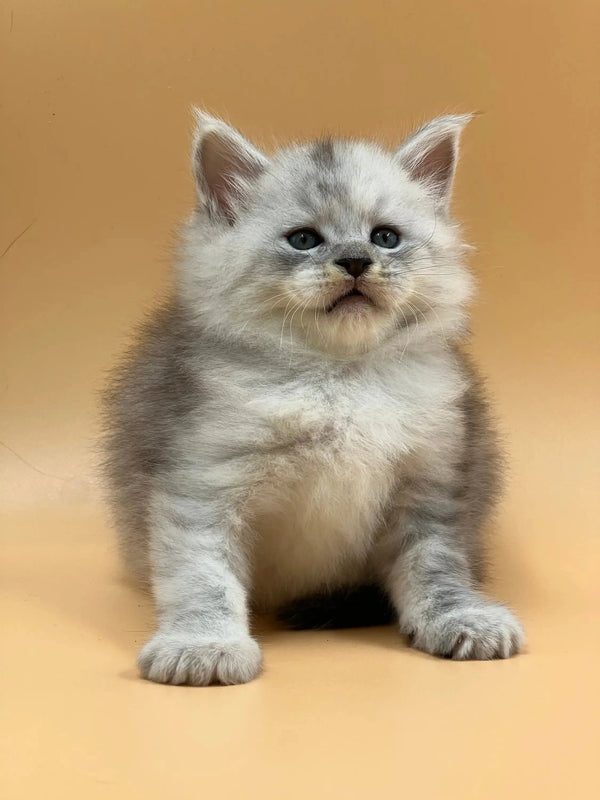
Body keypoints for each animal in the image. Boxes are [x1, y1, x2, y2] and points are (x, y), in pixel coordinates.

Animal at [103, 111, 524, 688]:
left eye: (385, 238)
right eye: (303, 239)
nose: (355, 261)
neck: (338, 377)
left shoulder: (432, 484)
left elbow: (437, 567)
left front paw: (461, 618)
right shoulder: (203, 479)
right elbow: (202, 575)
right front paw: (204, 644)